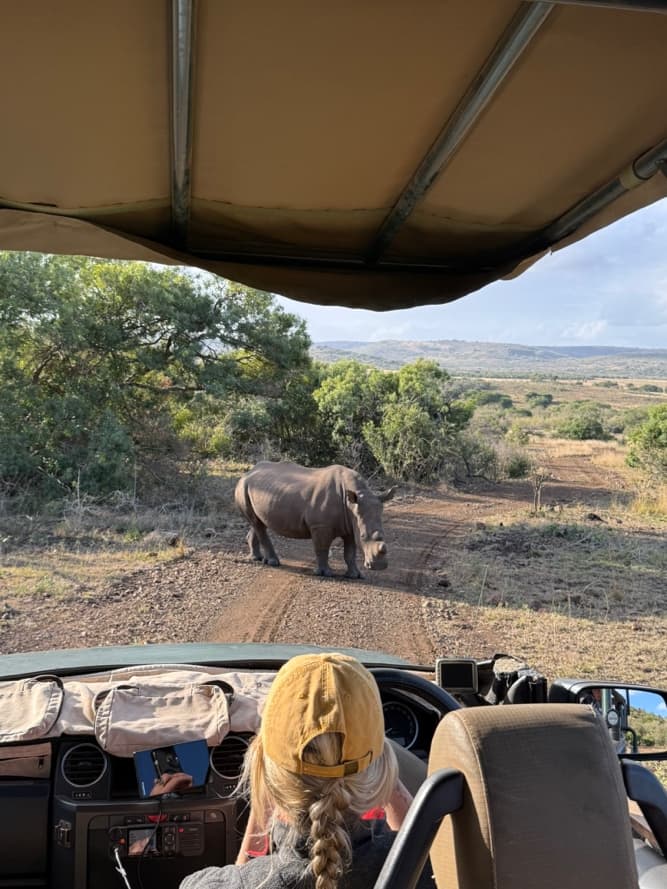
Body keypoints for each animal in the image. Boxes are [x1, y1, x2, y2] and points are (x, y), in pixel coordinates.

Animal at [234, 461, 396, 578]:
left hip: (255, 488)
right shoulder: (320, 526)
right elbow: (322, 548)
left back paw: (256, 558)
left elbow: (350, 552)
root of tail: (247, 472)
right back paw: (273, 563)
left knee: (257, 522)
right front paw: (325, 574)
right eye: (363, 536)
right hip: (242, 486)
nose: (379, 566)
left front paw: (355, 575)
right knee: (258, 525)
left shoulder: (351, 526)